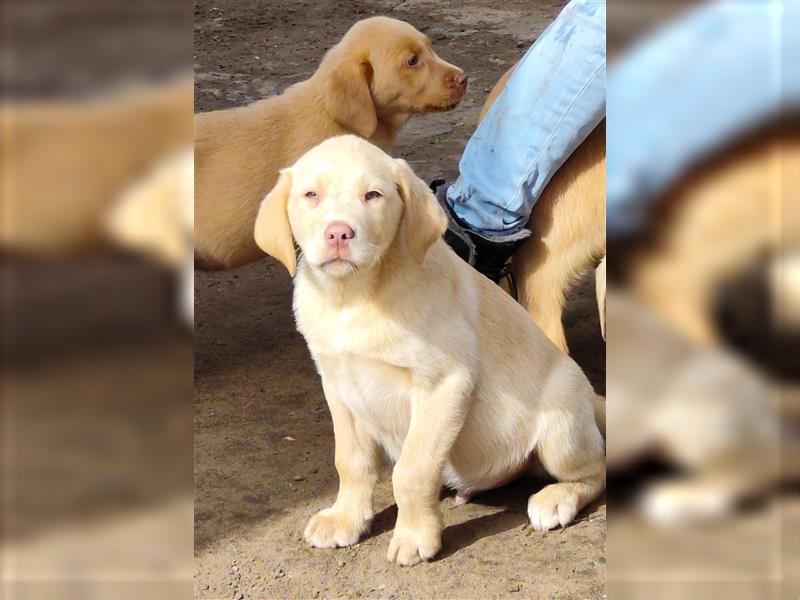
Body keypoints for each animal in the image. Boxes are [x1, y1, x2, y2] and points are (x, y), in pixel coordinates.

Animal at [253, 136, 604, 568]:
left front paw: (414, 536)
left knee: (595, 470)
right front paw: (346, 518)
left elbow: (411, 472)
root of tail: (590, 398)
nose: (338, 234)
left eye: (373, 195)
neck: (354, 297)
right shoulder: (337, 385)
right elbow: (350, 460)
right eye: (310, 195)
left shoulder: (443, 384)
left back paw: (557, 499)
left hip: (560, 429)